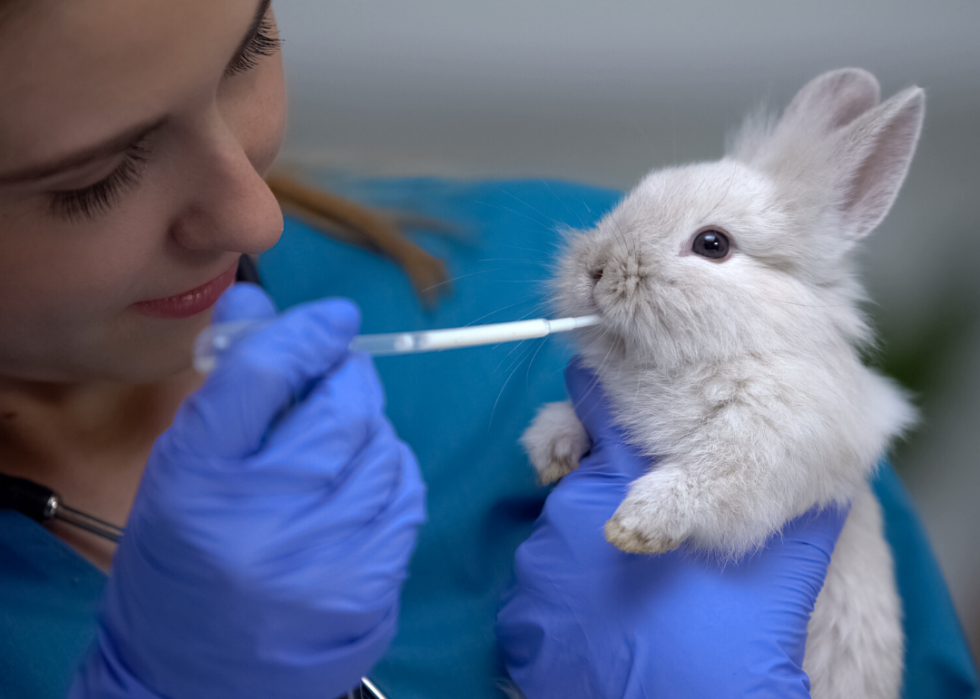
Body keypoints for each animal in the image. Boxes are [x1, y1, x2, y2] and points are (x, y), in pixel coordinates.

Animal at [524, 69, 924, 699]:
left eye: (712, 244)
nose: (595, 269)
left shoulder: (773, 445)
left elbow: (707, 481)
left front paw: (633, 525)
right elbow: (569, 417)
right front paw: (552, 452)